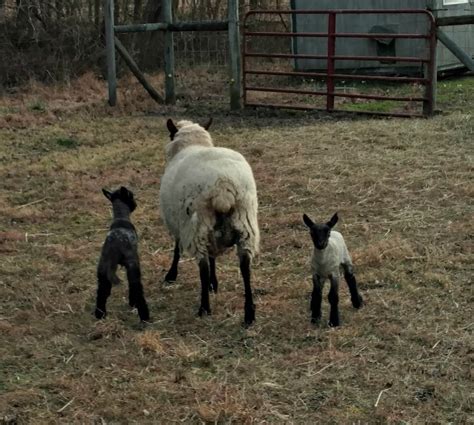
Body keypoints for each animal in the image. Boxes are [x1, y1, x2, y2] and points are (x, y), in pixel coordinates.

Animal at [159, 117, 260, 326]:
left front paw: (171, 275)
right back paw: (249, 313)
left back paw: (204, 308)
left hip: (197, 225)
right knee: (245, 267)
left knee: (203, 268)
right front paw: (215, 283)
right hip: (245, 223)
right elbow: (214, 257)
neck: (193, 144)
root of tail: (223, 184)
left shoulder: (180, 225)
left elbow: (176, 249)